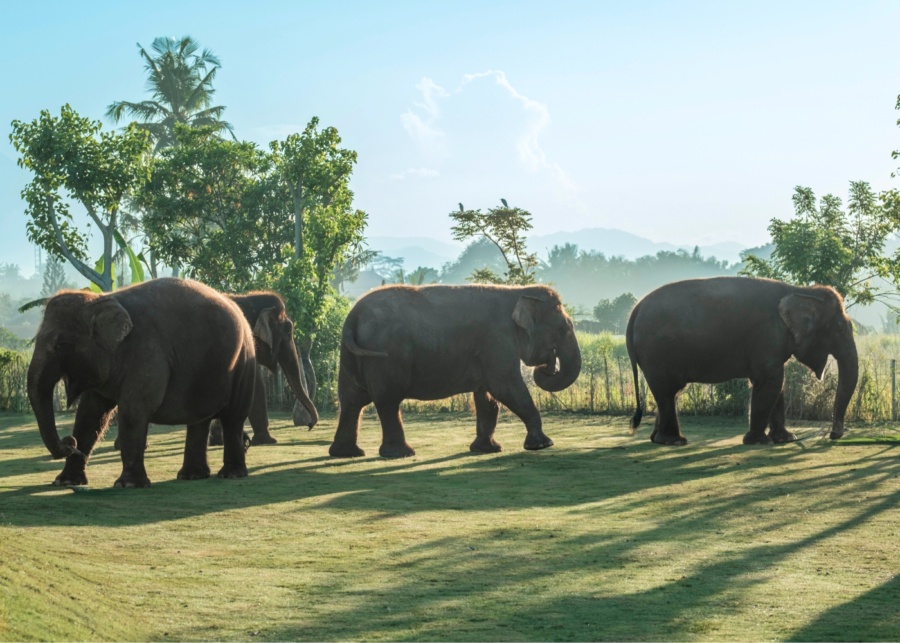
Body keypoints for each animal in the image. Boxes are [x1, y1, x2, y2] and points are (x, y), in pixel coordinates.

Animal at [27, 278, 258, 488]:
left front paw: (128, 485)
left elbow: (134, 410)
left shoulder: (147, 353)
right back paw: (191, 475)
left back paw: (231, 474)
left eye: (62, 344)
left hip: (244, 364)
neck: (101, 299)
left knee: (233, 417)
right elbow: (90, 414)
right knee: (199, 420)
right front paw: (65, 482)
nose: (70, 442)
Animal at [330, 284, 582, 458]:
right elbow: (506, 387)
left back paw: (347, 453)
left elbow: (487, 397)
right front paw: (542, 445)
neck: (518, 291)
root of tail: (353, 315)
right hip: (385, 357)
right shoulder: (497, 341)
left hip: (350, 356)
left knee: (351, 401)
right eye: (562, 328)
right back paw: (401, 454)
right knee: (387, 401)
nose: (546, 366)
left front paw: (487, 449)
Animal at [626, 276, 859, 446]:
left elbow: (777, 386)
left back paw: (659, 440)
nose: (834, 434)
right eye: (839, 327)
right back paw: (675, 441)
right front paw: (758, 442)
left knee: (668, 393)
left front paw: (785, 439)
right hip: (657, 353)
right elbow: (770, 383)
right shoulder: (767, 337)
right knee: (667, 391)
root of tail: (635, 310)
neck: (800, 290)